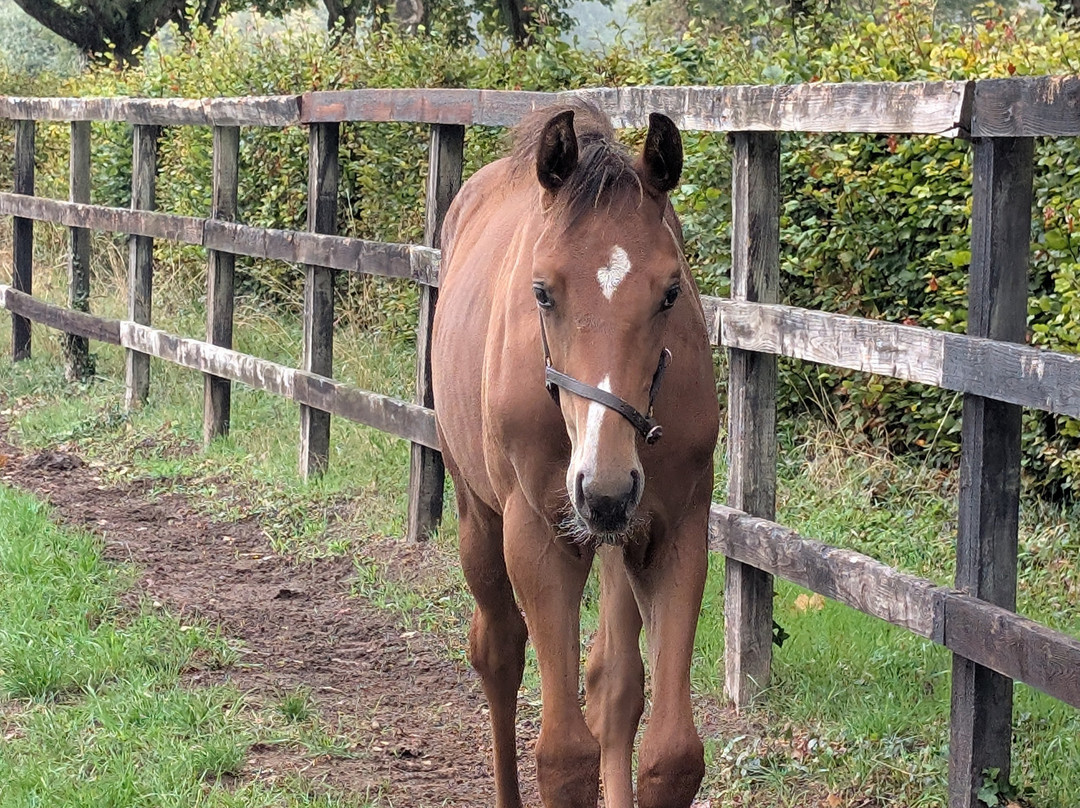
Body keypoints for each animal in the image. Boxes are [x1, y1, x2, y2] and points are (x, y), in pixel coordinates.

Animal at [431, 101, 719, 808]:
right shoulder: (539, 535)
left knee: (613, 682)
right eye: (542, 291)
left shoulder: (672, 533)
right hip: (480, 515)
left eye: (670, 292)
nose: (606, 490)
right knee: (498, 650)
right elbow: (564, 758)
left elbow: (671, 755)